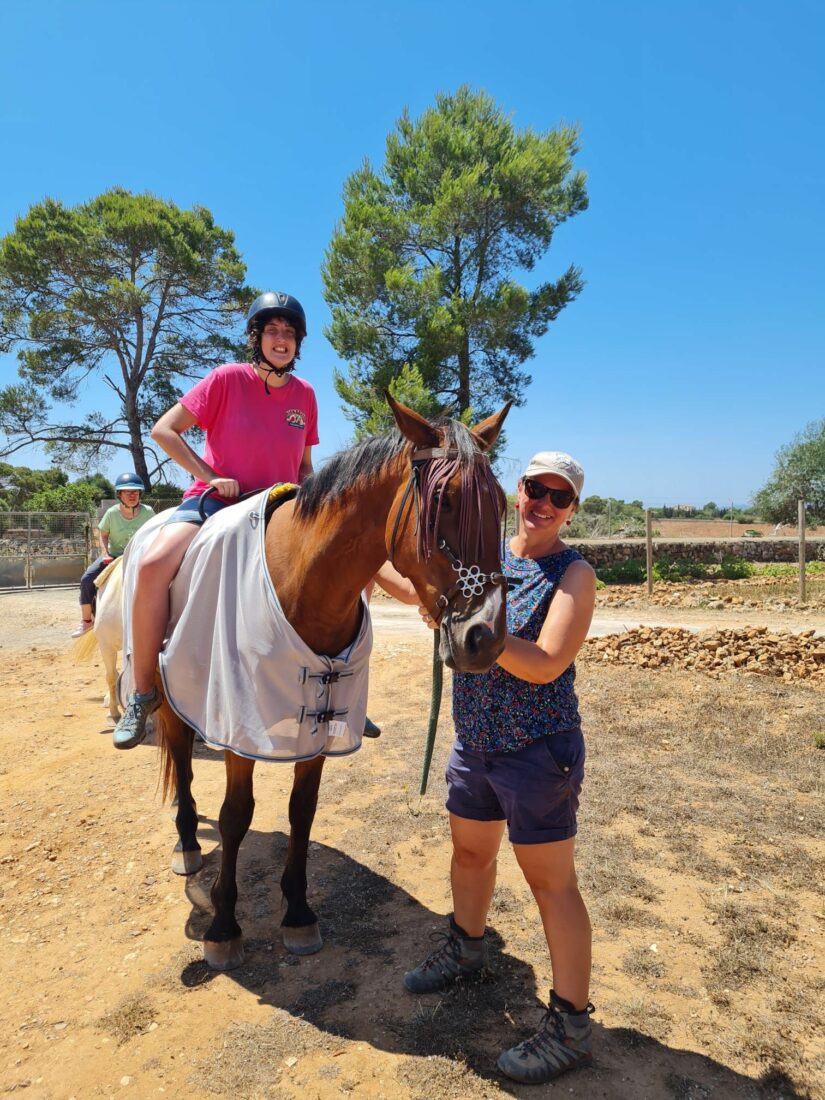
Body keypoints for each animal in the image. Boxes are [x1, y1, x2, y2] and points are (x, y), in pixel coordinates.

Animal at [151, 396, 508, 972]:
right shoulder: (238, 730)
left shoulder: (319, 725)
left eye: (500, 504)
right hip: (171, 698)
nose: (486, 637)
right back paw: (186, 844)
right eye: (445, 501)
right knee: (182, 761)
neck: (302, 581)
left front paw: (298, 913)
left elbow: (302, 811)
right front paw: (224, 926)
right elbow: (234, 817)